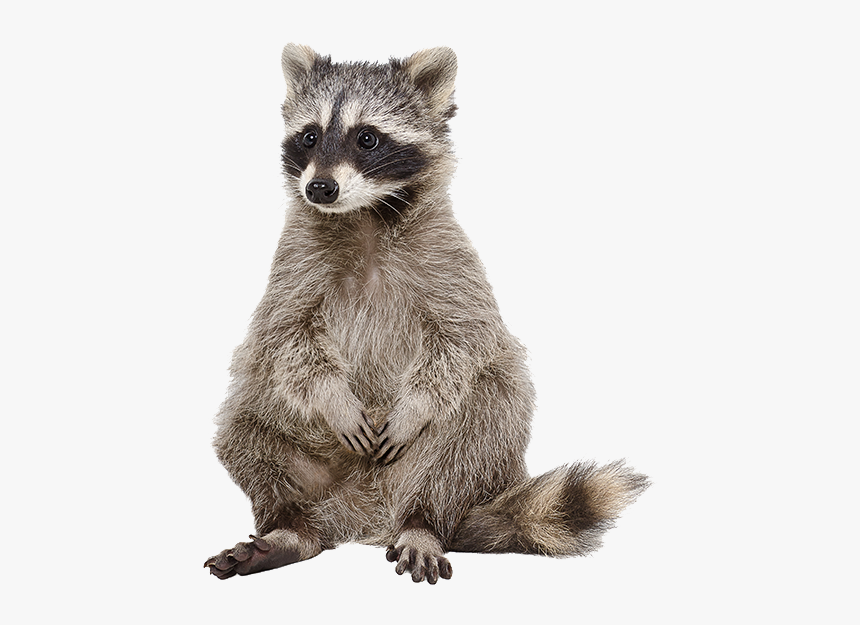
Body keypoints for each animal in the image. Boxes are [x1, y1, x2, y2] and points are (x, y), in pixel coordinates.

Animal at [204, 44, 649, 584]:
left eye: (367, 137)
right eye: (309, 135)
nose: (320, 188)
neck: (364, 215)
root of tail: (368, 512)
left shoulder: (447, 256)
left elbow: (465, 339)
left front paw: (415, 407)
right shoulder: (294, 261)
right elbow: (284, 336)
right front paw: (334, 398)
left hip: (464, 464)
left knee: (487, 408)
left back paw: (423, 522)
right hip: (294, 440)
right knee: (244, 423)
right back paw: (290, 527)